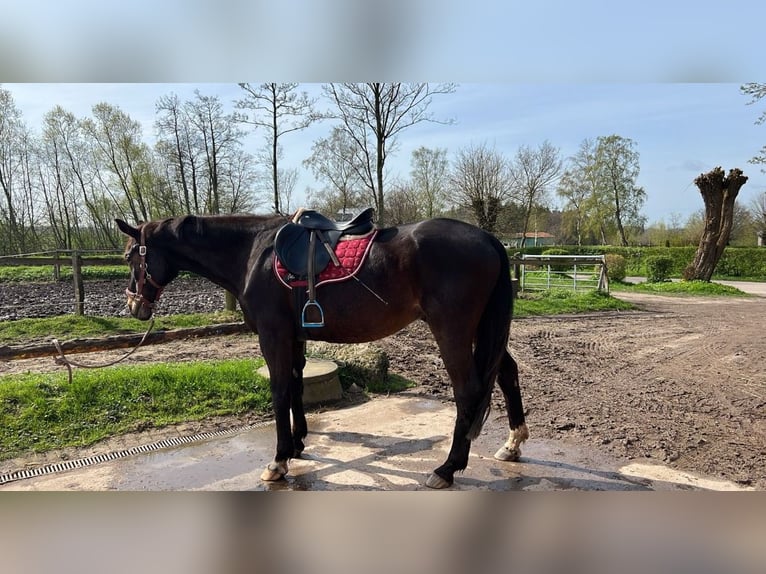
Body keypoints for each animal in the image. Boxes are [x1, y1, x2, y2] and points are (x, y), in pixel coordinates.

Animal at [117, 213, 532, 490]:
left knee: (467, 390)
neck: (253, 253)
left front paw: (279, 461)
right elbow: (296, 385)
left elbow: (279, 390)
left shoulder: (273, 335)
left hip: (453, 332)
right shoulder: (294, 336)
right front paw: (299, 443)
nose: (134, 307)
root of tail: (488, 239)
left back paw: (447, 469)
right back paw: (512, 445)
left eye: (129, 257)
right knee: (506, 373)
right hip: (484, 329)